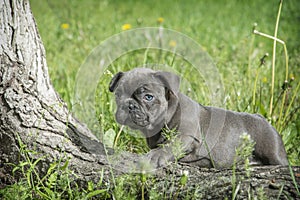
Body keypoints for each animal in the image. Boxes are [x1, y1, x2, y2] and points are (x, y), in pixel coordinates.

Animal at [108, 68, 288, 168]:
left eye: (148, 97)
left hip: (273, 150)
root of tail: (262, 118)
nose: (129, 105)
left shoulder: (186, 136)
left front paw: (155, 156)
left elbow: (169, 146)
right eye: (118, 95)